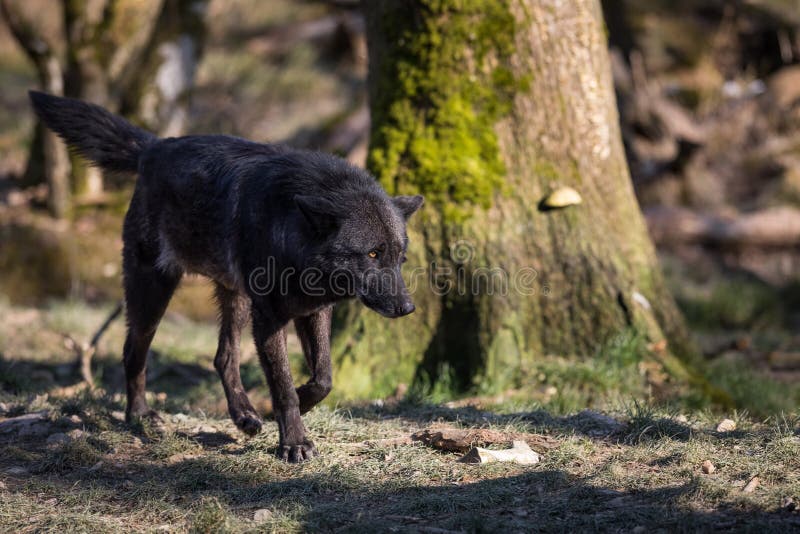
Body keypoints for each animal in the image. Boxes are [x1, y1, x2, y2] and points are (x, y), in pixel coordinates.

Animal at [29, 91, 423, 462]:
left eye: (399, 258)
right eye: (372, 255)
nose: (407, 308)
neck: (292, 235)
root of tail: (155, 146)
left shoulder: (314, 310)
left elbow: (324, 377)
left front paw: (298, 404)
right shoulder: (269, 318)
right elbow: (282, 384)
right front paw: (294, 442)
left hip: (235, 299)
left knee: (223, 356)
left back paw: (244, 415)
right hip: (154, 294)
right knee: (133, 352)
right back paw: (140, 416)